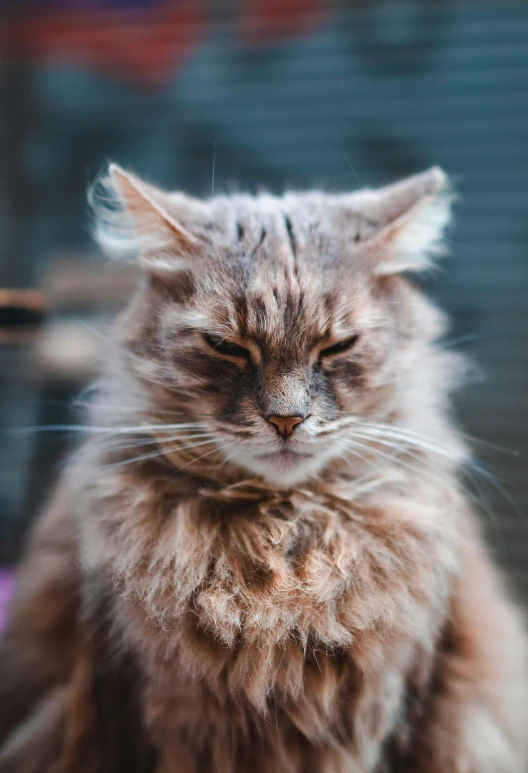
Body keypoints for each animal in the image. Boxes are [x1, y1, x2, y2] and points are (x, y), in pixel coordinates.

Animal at [1, 164, 528, 772]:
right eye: (227, 346)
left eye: (338, 346)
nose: (286, 419)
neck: (280, 538)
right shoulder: (129, 696)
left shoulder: (393, 703)